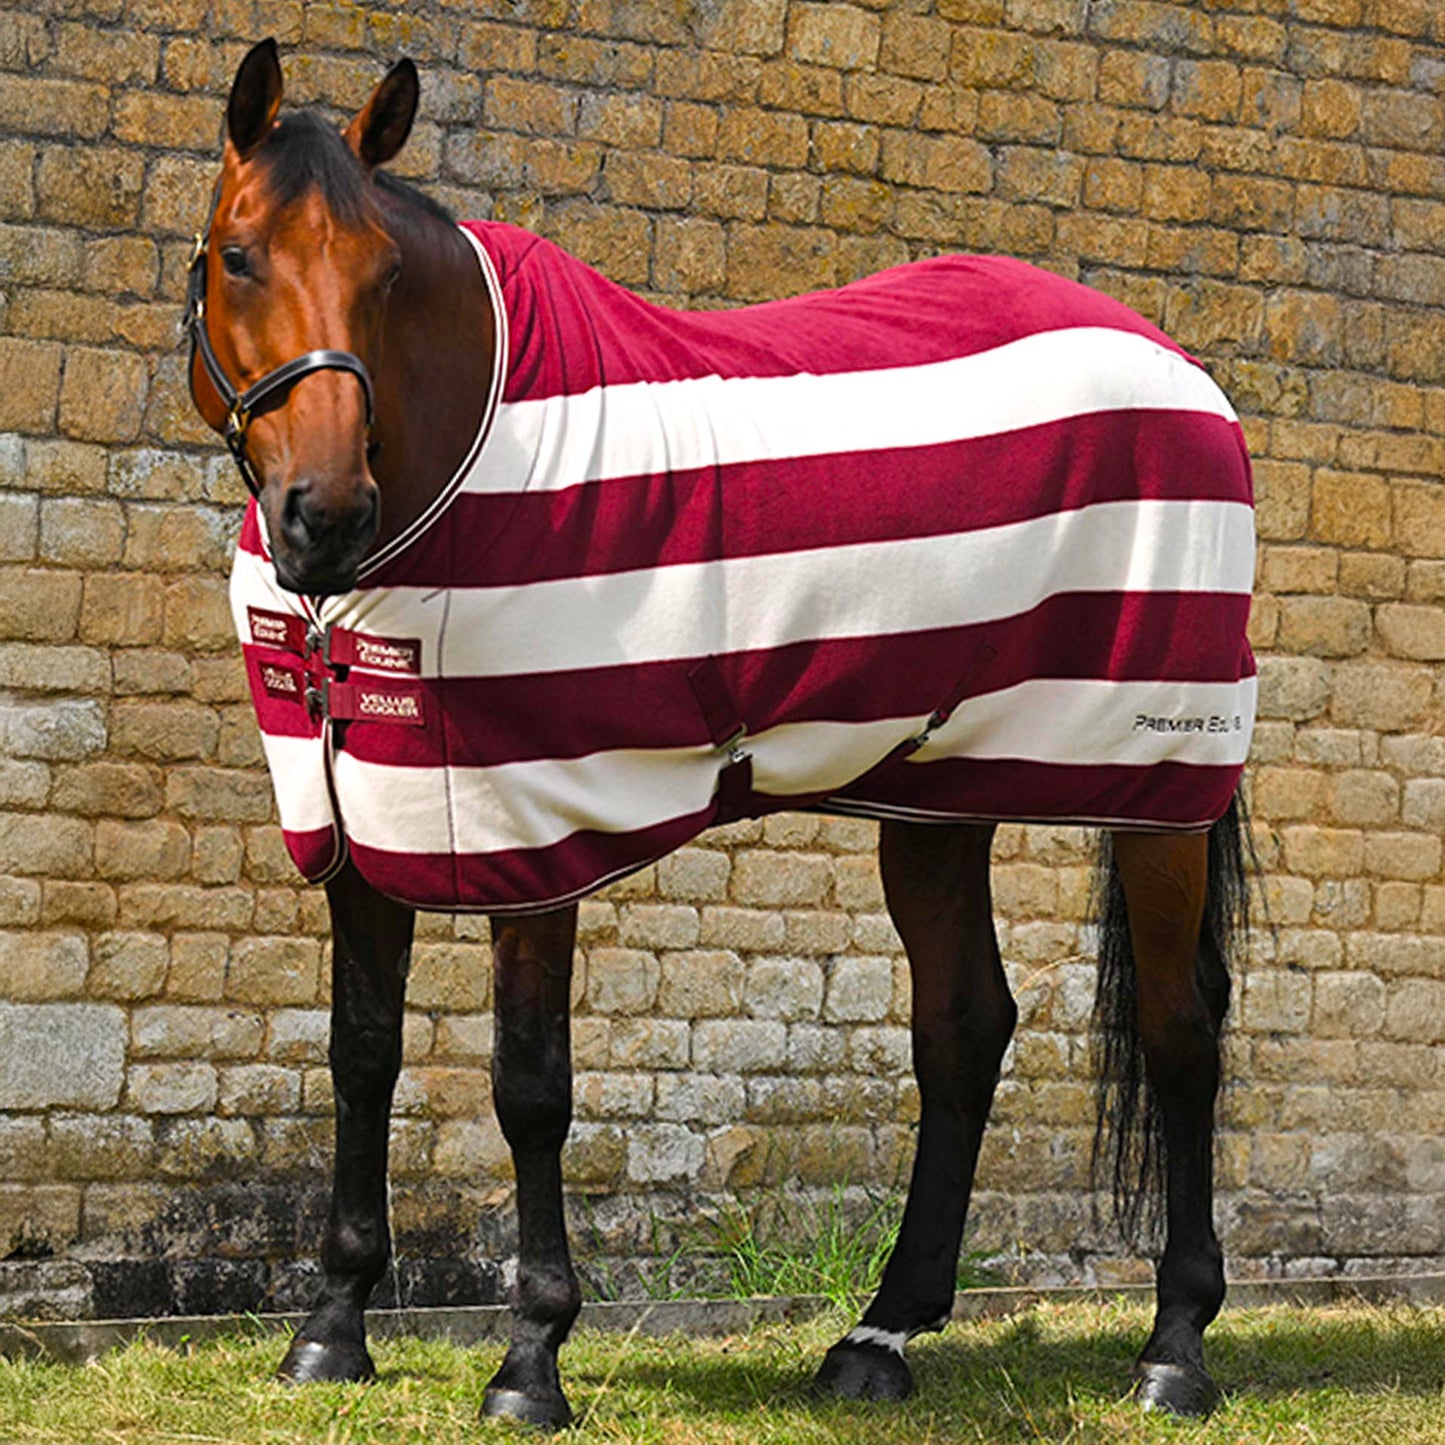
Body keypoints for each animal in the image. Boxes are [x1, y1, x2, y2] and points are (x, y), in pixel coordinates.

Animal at [186, 39, 1256, 1428]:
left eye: (385, 275)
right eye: (238, 255)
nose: (324, 515)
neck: (465, 458)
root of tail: (1177, 368)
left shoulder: (535, 823)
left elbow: (529, 1084)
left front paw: (530, 1357)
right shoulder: (359, 815)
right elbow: (360, 1052)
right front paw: (330, 1326)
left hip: (1153, 782)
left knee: (1179, 1030)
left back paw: (1172, 1346)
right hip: (936, 785)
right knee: (963, 1025)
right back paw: (878, 1334)